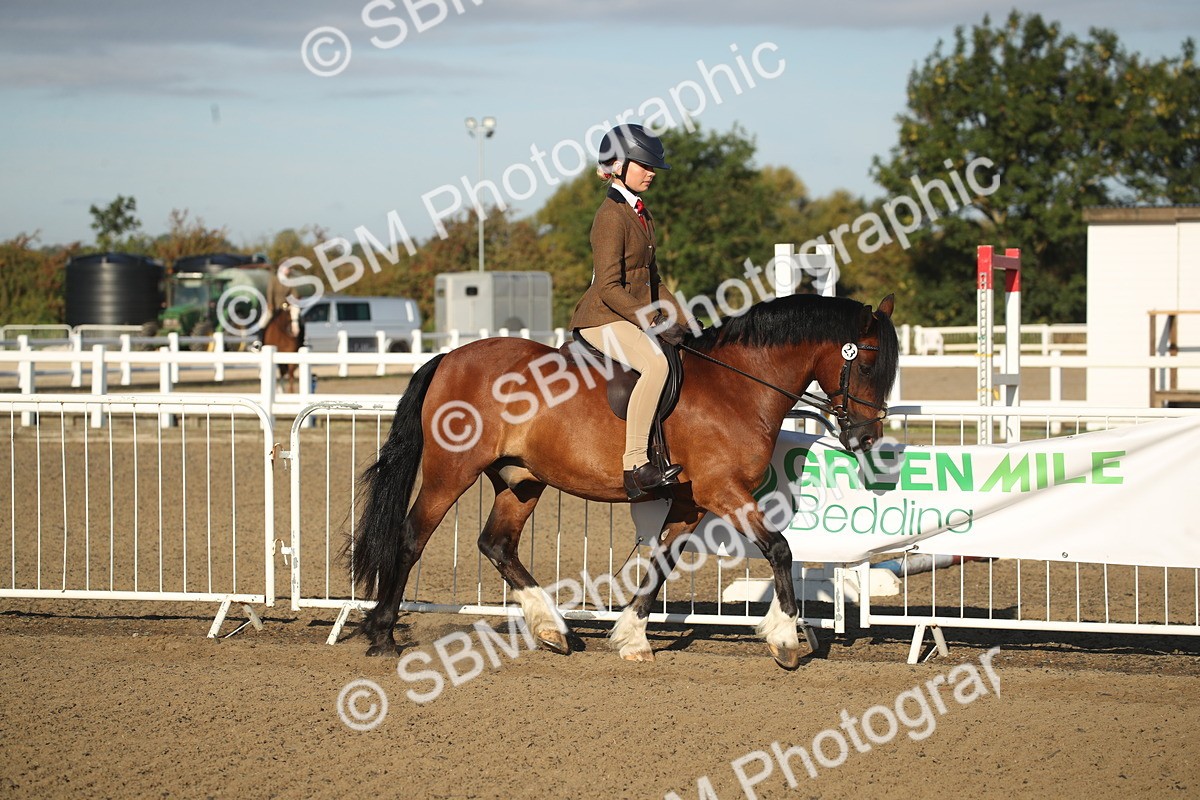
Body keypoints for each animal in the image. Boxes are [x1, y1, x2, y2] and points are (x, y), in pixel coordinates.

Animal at [351, 293, 899, 669]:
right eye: (868, 361)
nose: (866, 436)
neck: (736, 386)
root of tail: (449, 358)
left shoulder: (691, 499)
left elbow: (661, 563)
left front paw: (631, 637)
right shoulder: (722, 490)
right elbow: (779, 548)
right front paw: (785, 639)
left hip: (522, 479)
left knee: (497, 544)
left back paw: (555, 631)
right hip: (452, 471)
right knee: (411, 538)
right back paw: (382, 635)